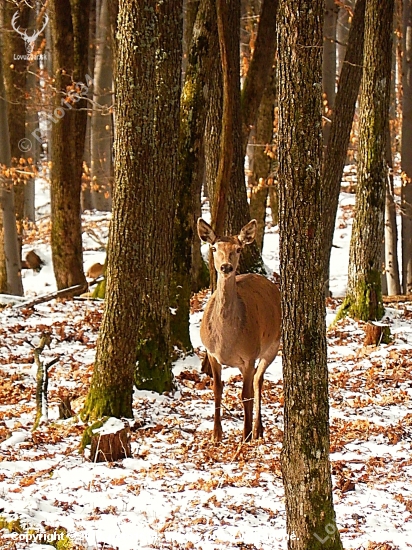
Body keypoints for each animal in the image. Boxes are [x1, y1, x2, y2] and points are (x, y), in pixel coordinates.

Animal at [197, 219, 282, 444]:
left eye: (238, 248)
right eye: (214, 247)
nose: (226, 266)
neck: (226, 342)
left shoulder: (249, 355)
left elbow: (245, 395)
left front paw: (246, 435)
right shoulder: (211, 353)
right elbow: (217, 389)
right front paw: (216, 434)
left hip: (273, 344)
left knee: (258, 380)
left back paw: (257, 429)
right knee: (256, 380)